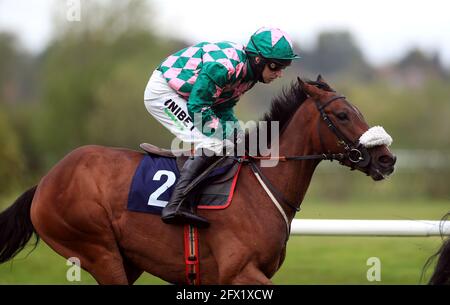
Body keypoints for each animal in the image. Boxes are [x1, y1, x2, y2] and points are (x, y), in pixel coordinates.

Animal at [0, 75, 394, 282]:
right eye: (342, 115)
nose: (387, 158)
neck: (262, 186)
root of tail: (45, 183)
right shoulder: (239, 271)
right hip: (97, 249)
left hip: (125, 260)